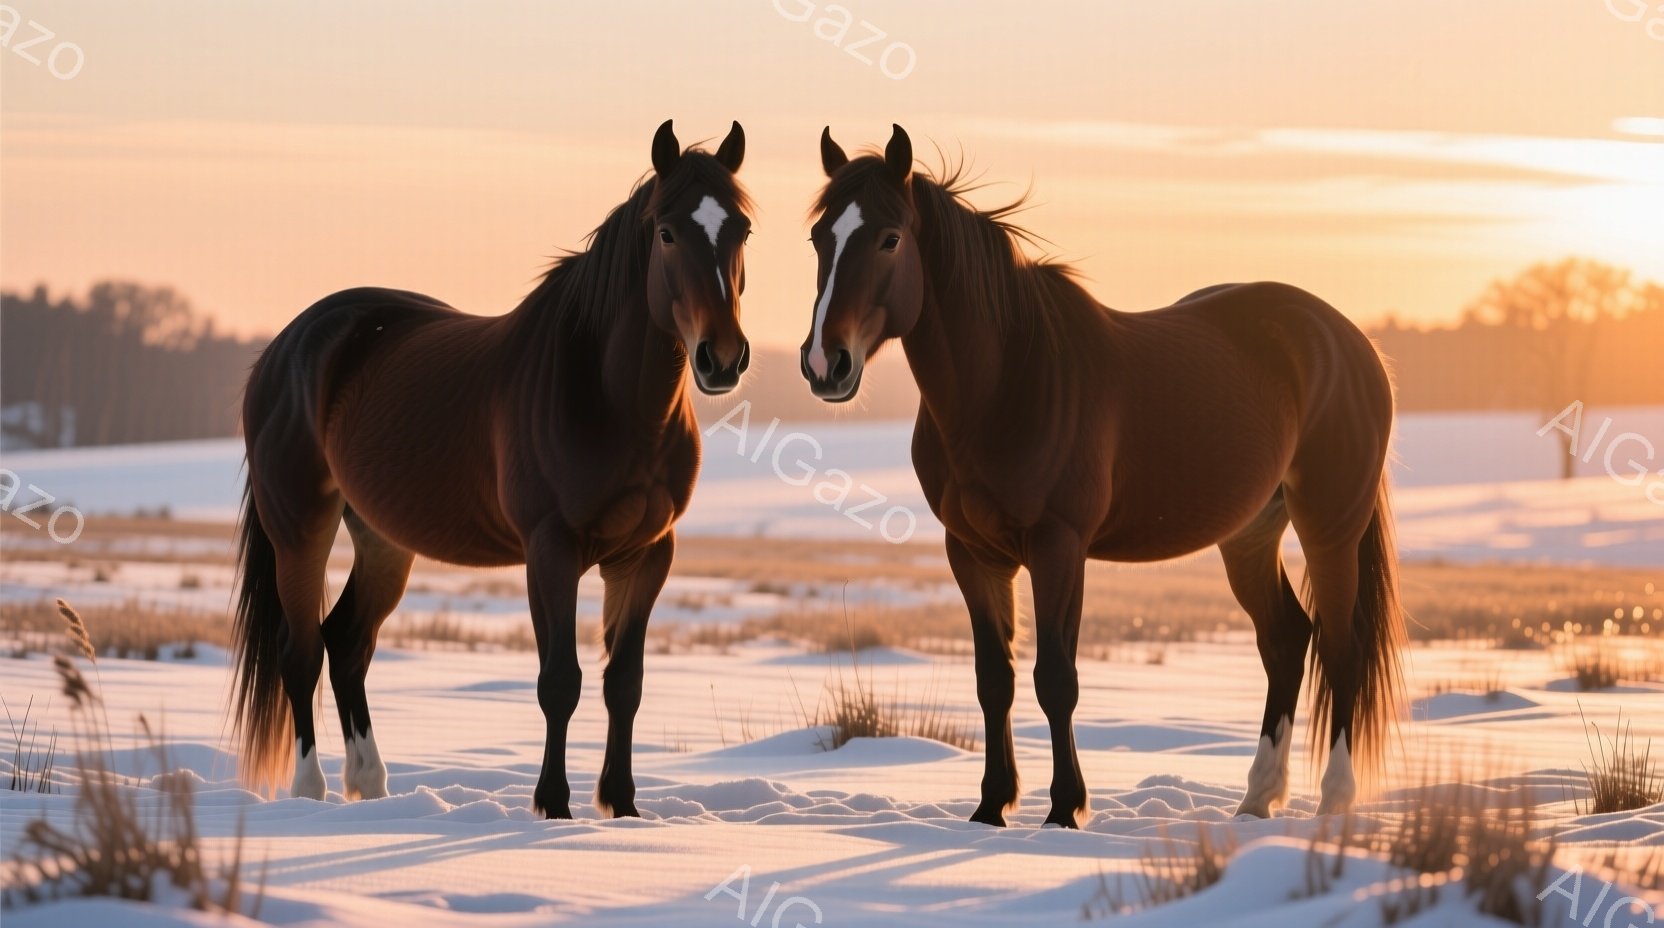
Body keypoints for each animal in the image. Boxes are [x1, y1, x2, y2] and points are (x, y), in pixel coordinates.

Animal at [231, 120, 753, 819]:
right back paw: (310, 792)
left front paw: (622, 807)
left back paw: (371, 784)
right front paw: (554, 807)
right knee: (303, 652)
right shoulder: (551, 550)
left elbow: (624, 683)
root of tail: (285, 346)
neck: (607, 397)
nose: (721, 358)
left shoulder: (647, 554)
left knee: (347, 644)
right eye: (667, 232)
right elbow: (560, 682)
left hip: (383, 540)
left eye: (741, 230)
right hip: (300, 529)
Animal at [800, 125, 1404, 827]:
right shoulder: (972, 553)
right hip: (1250, 535)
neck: (1008, 381)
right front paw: (991, 807)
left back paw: (1334, 801)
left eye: (890, 238)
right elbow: (994, 680)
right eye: (819, 238)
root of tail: (1348, 342)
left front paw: (1065, 809)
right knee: (1286, 640)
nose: (826, 363)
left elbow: (1055, 680)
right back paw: (1257, 799)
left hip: (1330, 527)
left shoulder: (1059, 547)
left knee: (1340, 647)